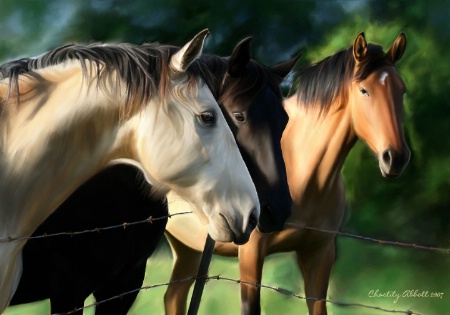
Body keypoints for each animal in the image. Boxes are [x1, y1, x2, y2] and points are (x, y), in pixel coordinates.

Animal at [163, 32, 410, 315]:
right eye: (364, 90)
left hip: (186, 247)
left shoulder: (320, 254)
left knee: (174, 296)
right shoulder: (251, 253)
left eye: (401, 90)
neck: (305, 175)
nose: (396, 157)